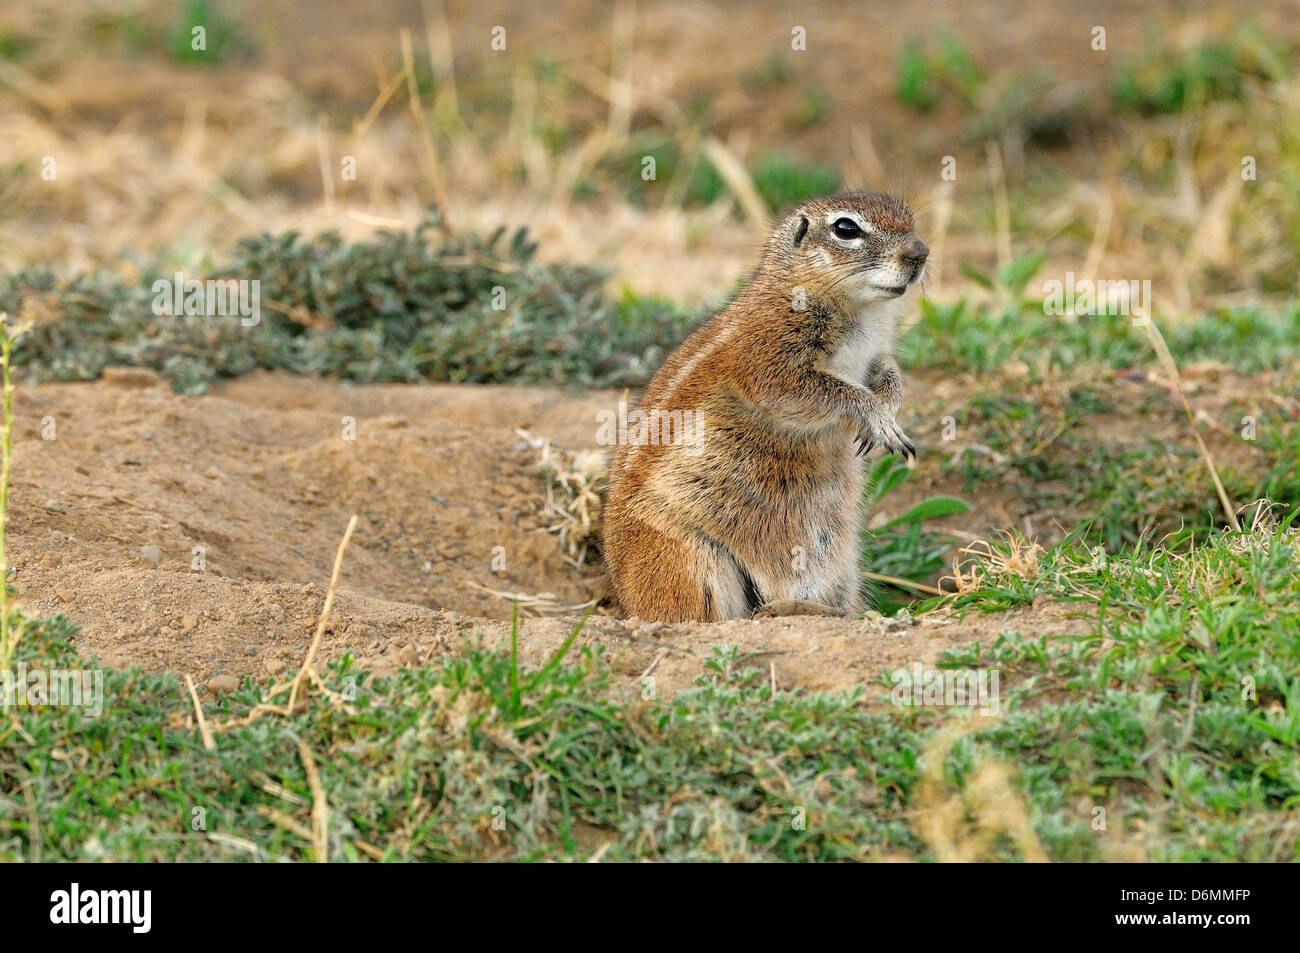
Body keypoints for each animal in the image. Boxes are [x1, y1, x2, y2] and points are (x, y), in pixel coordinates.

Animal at [603, 193, 930, 624]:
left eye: (909, 219)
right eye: (846, 229)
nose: (920, 253)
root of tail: (624, 601)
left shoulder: (875, 355)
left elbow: (889, 373)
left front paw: (888, 412)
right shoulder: (768, 350)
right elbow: (808, 390)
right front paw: (875, 416)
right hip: (687, 560)